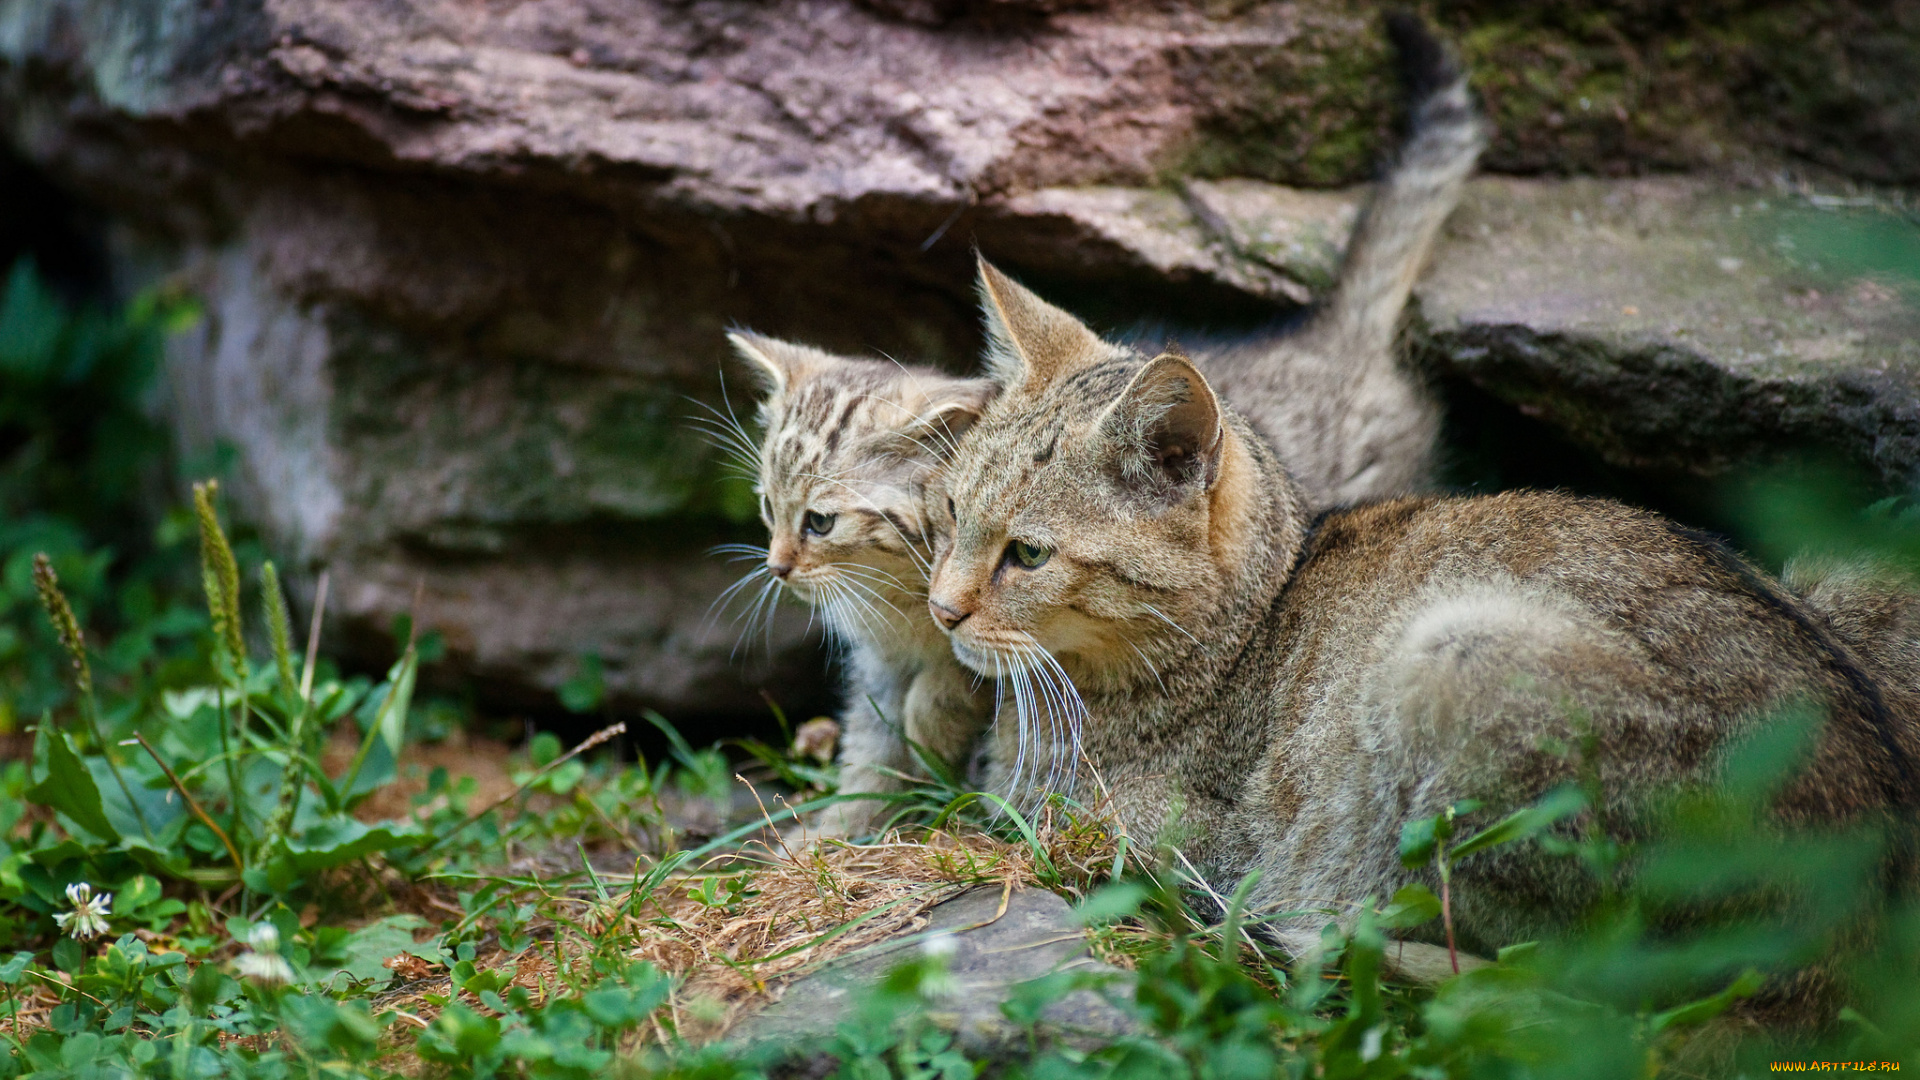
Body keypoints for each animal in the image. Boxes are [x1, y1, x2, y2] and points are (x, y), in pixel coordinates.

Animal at [729, 14, 1482, 834]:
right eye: (768, 509)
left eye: (822, 521)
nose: (777, 566)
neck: (896, 612)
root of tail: (1330, 332)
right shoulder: (879, 672)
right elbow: (869, 758)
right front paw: (831, 835)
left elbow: (953, 701)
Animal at [921, 270, 1912, 1006]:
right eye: (952, 512)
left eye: (1028, 553)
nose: (941, 608)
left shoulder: (1166, 838)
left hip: (1452, 656)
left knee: (1567, 979)